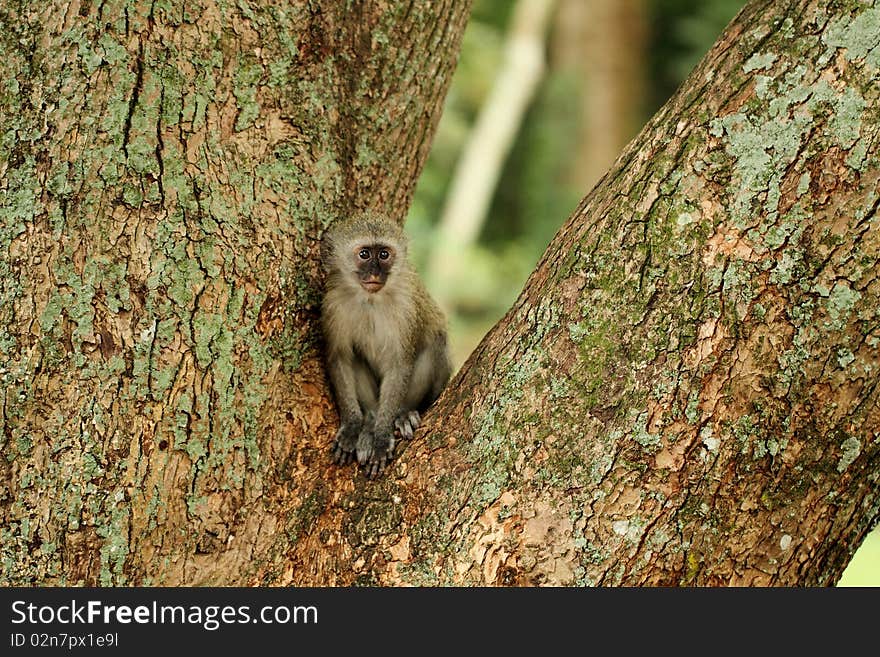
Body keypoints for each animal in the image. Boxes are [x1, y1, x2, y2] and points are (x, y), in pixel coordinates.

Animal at [318, 214, 454, 476]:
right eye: (364, 254)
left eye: (383, 255)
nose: (374, 273)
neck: (371, 299)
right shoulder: (333, 303)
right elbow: (340, 358)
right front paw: (353, 425)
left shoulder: (407, 307)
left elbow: (399, 365)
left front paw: (381, 438)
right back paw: (370, 420)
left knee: (436, 344)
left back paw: (403, 414)